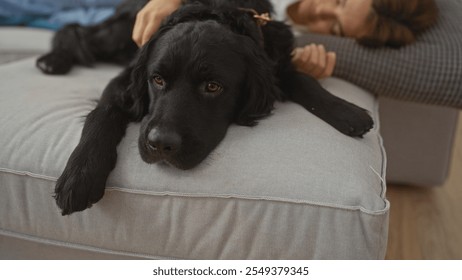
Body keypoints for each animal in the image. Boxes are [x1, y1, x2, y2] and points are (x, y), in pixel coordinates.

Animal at [38, 0, 374, 215]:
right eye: (157, 79)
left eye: (213, 87)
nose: (160, 144)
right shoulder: (125, 82)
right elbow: (101, 114)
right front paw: (80, 175)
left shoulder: (274, 61)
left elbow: (304, 79)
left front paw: (348, 111)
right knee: (76, 32)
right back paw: (53, 60)